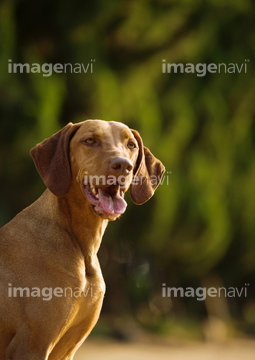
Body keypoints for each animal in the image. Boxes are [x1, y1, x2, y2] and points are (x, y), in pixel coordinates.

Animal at [0, 119, 165, 358]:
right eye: (90, 140)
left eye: (131, 145)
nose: (123, 165)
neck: (81, 246)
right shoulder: (30, 346)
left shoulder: (66, 350)